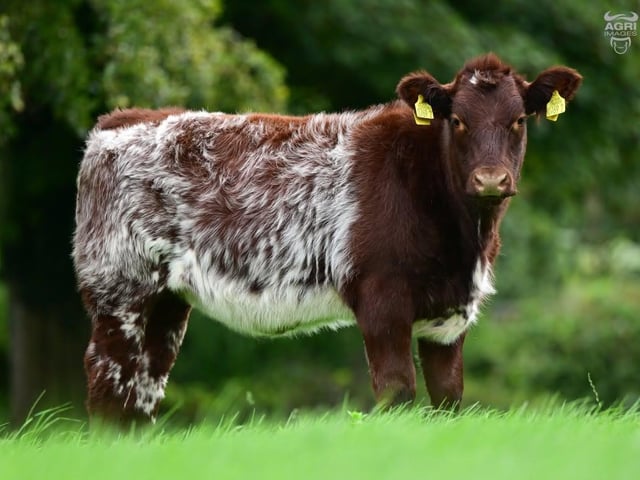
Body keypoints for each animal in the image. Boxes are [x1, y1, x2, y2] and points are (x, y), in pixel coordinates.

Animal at [73, 53, 582, 423]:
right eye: (457, 120)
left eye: (519, 120)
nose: (491, 179)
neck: (465, 242)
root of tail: (120, 120)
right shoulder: (381, 299)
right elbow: (397, 391)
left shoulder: (451, 315)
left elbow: (448, 397)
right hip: (118, 287)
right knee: (107, 379)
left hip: (167, 301)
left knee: (144, 386)